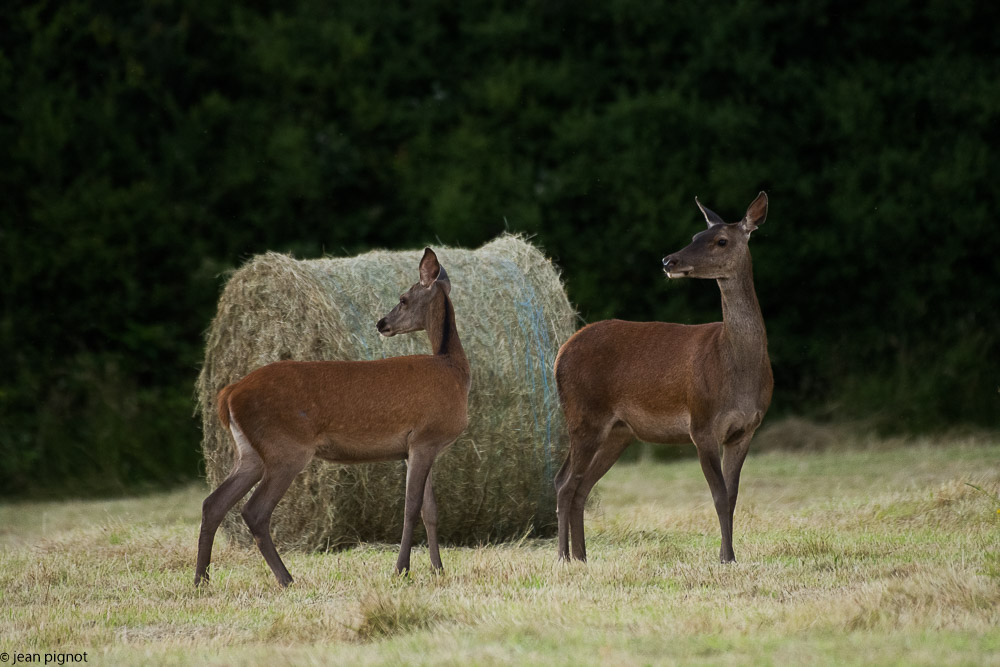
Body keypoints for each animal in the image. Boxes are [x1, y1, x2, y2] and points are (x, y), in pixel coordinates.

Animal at [197, 248, 474, 588]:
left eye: (403, 298)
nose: (381, 323)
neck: (453, 370)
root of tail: (229, 394)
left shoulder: (423, 447)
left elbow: (430, 509)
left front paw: (438, 569)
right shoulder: (423, 438)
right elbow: (410, 508)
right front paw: (401, 569)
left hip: (250, 452)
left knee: (214, 503)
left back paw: (201, 580)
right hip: (285, 448)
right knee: (254, 511)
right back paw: (286, 579)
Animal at [556, 192, 772, 564]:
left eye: (720, 240)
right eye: (695, 235)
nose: (668, 261)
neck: (733, 366)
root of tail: (560, 352)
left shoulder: (746, 429)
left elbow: (732, 496)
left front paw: (730, 556)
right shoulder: (701, 423)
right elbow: (718, 496)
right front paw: (725, 558)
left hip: (618, 431)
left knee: (577, 484)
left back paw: (581, 557)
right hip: (584, 415)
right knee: (566, 483)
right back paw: (562, 557)